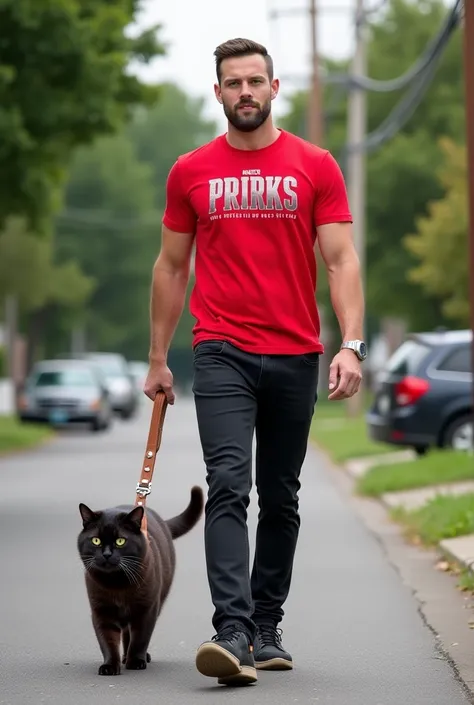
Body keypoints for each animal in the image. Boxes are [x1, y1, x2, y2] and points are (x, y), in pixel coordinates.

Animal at [78, 486, 204, 672]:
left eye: (120, 541)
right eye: (96, 540)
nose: (106, 554)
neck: (117, 585)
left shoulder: (147, 609)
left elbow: (140, 639)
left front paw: (136, 661)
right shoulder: (101, 611)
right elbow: (107, 641)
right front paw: (110, 666)